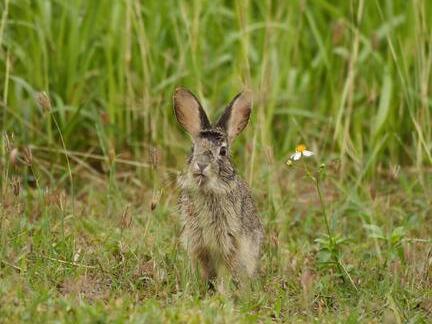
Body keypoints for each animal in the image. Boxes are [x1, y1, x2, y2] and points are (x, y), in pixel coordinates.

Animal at [172, 87, 264, 288]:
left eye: (222, 151)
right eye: (193, 148)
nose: (201, 164)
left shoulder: (229, 243)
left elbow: (226, 271)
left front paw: (222, 291)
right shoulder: (197, 244)